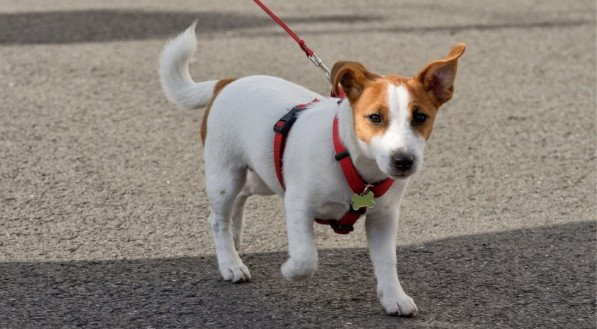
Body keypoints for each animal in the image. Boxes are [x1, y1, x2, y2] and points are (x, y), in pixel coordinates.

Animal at [159, 23, 466, 316]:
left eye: (420, 117)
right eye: (375, 117)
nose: (403, 161)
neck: (351, 159)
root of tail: (227, 83)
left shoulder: (384, 217)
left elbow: (388, 260)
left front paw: (394, 297)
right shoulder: (297, 204)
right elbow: (307, 257)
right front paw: (289, 270)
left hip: (263, 173)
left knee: (242, 196)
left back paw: (235, 239)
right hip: (225, 176)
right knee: (217, 218)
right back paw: (230, 263)